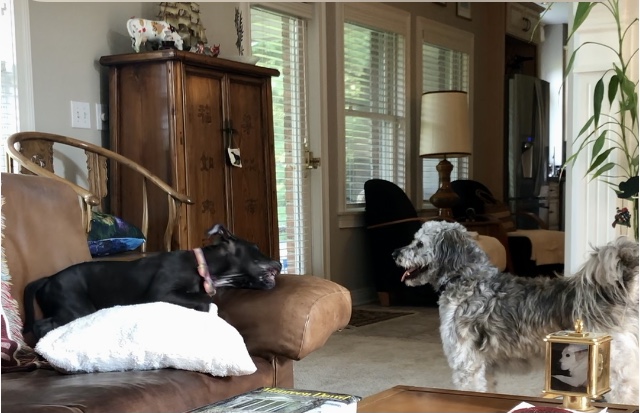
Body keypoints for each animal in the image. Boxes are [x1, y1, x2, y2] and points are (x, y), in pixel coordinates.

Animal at [23, 224, 281, 343]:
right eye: (256, 249)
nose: (279, 263)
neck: (203, 265)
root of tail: (48, 280)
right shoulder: (161, 292)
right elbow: (204, 300)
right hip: (74, 307)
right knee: (41, 325)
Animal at [392, 220, 639, 404]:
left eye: (419, 243)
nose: (394, 253)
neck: (467, 281)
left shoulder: (466, 365)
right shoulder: (484, 368)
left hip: (613, 371)